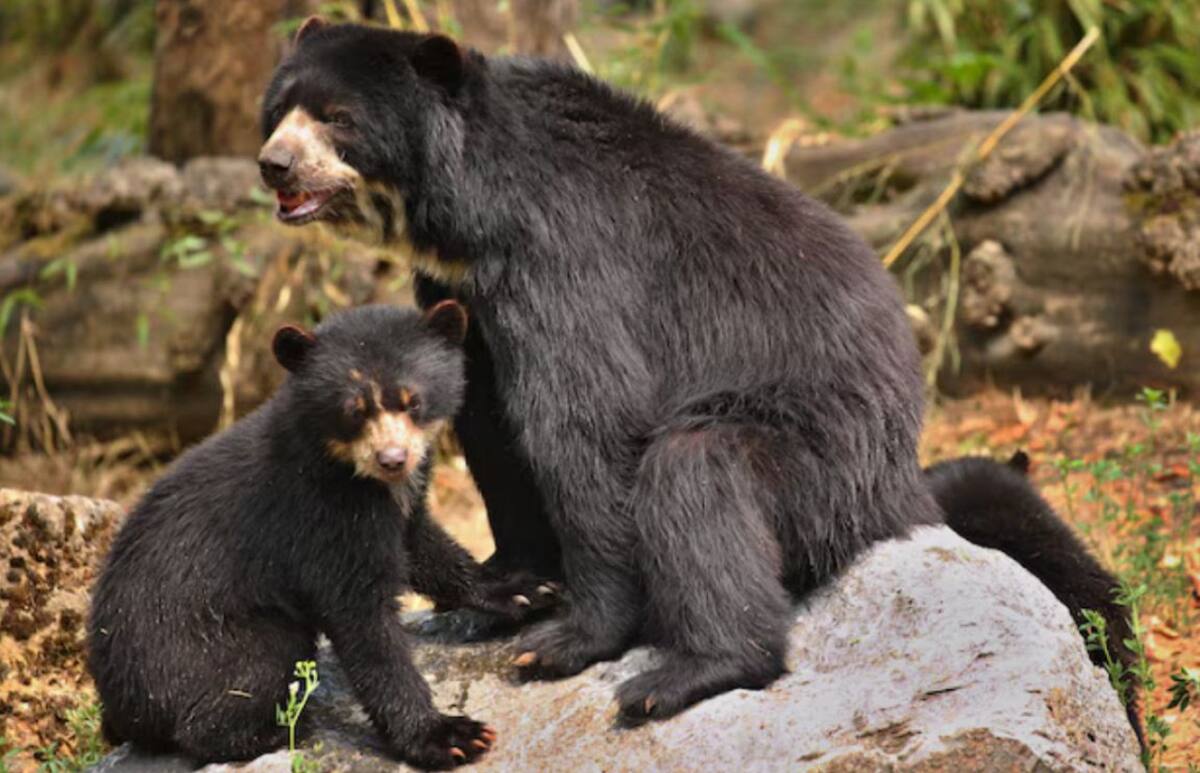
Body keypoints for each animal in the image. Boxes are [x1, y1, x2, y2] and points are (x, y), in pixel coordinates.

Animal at [87, 302, 555, 768]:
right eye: (354, 410)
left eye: (414, 400)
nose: (393, 459)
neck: (361, 479)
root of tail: (117, 703)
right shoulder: (320, 516)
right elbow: (364, 623)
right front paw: (451, 735)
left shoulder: (396, 507)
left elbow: (424, 547)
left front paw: (525, 590)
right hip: (205, 643)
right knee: (242, 681)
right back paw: (280, 728)